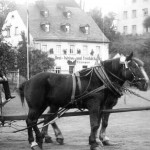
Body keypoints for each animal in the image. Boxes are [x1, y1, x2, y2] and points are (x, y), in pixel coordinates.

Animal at [17, 52, 149, 150]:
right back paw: (35, 142)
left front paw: (96, 140)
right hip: (37, 106)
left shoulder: (101, 106)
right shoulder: (95, 105)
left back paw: (41, 139)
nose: (146, 84)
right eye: (134, 67)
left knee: (41, 119)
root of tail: (28, 81)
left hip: (47, 105)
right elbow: (95, 124)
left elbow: (99, 123)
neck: (101, 80)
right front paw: (95, 143)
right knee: (31, 121)